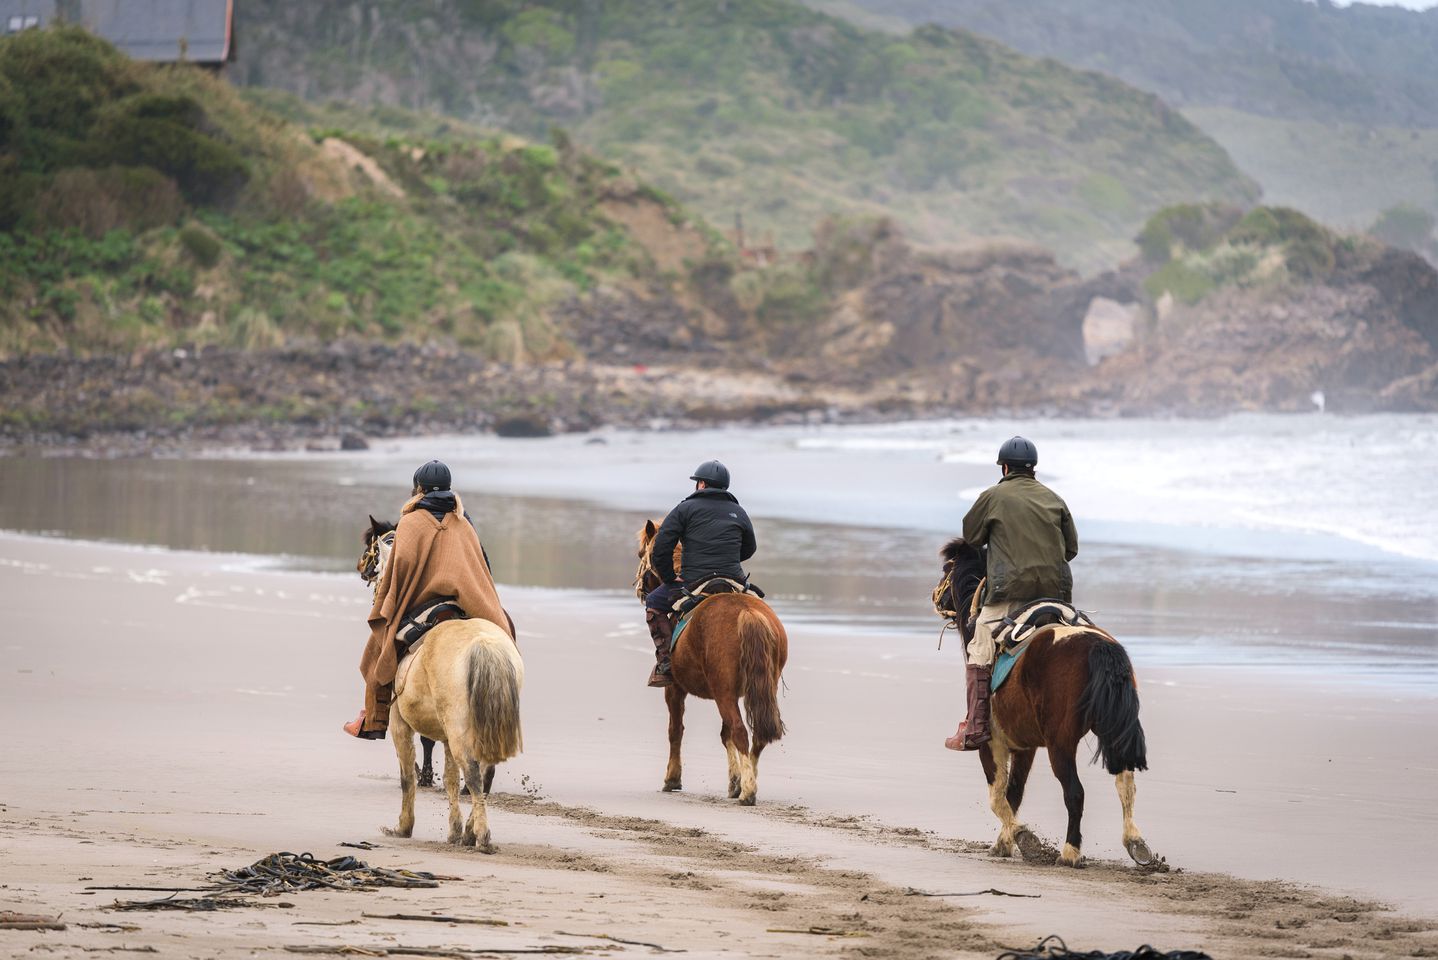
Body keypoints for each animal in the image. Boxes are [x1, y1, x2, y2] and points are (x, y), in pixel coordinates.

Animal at [358, 517, 526, 845]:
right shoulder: (447, 735)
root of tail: (484, 644)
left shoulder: (399, 722)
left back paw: (481, 835)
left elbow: (407, 777)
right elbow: (449, 777)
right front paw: (454, 829)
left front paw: (404, 827)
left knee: (474, 773)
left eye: (376, 550)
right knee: (484, 773)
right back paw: (472, 830)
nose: (364, 570)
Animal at [632, 520, 788, 804]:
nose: (641, 590)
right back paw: (749, 780)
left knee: (740, 731)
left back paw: (748, 790)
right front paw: (734, 781)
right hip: (758, 688)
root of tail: (747, 613)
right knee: (756, 735)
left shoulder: (675, 689)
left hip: (722, 691)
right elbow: (724, 736)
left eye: (641, 554)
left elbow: (675, 730)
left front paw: (672, 778)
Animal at [931, 540, 1156, 868]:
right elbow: (1014, 794)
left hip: (1060, 743)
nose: (935, 596)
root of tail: (1097, 646)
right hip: (1112, 730)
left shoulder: (992, 742)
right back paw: (1136, 844)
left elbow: (997, 797)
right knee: (1126, 783)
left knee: (1075, 793)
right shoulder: (1024, 747)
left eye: (946, 569)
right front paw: (1005, 842)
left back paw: (1070, 852)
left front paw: (1023, 839)